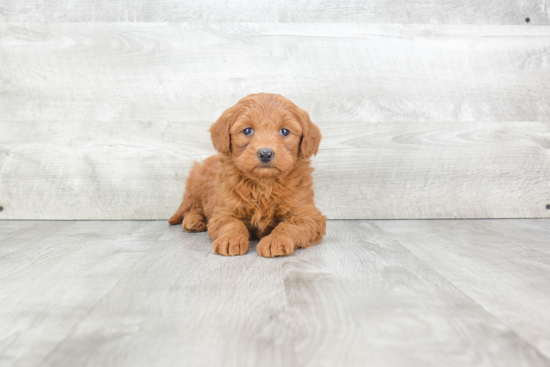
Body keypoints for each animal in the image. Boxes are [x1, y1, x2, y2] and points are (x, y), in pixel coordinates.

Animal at [168, 93, 328, 258]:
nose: (265, 153)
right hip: (195, 183)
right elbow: (232, 223)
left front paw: (275, 240)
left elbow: (290, 225)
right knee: (193, 207)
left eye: (284, 131)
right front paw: (231, 239)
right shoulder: (223, 211)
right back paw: (193, 221)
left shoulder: (308, 215)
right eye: (247, 131)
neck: (264, 184)